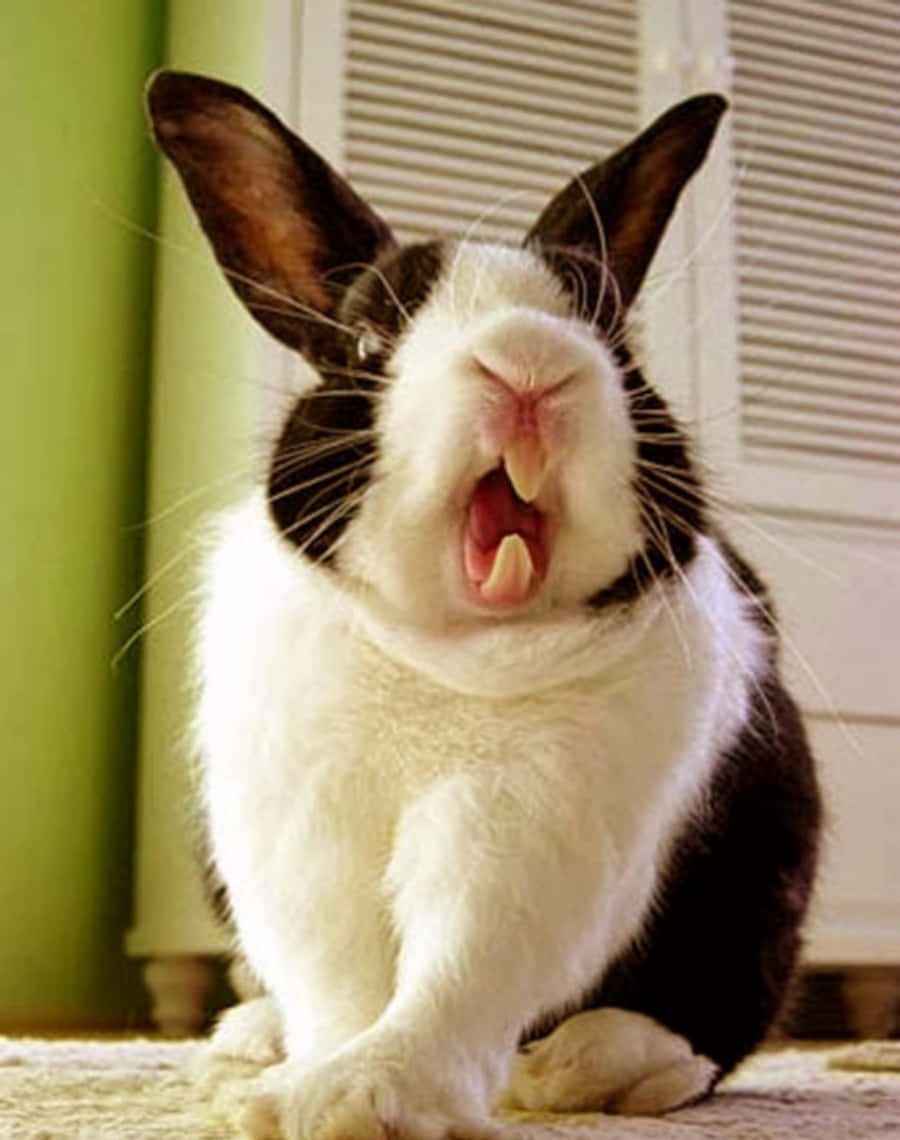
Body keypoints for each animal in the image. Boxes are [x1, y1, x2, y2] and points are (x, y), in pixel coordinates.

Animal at [146, 70, 821, 1140]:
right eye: (369, 337)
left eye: (612, 342)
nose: (528, 362)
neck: (450, 652)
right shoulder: (299, 831)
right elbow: (337, 978)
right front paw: (303, 1087)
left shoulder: (527, 827)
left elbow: (462, 964)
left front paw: (369, 1096)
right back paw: (250, 1036)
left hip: (767, 864)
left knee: (720, 1013)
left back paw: (600, 1066)